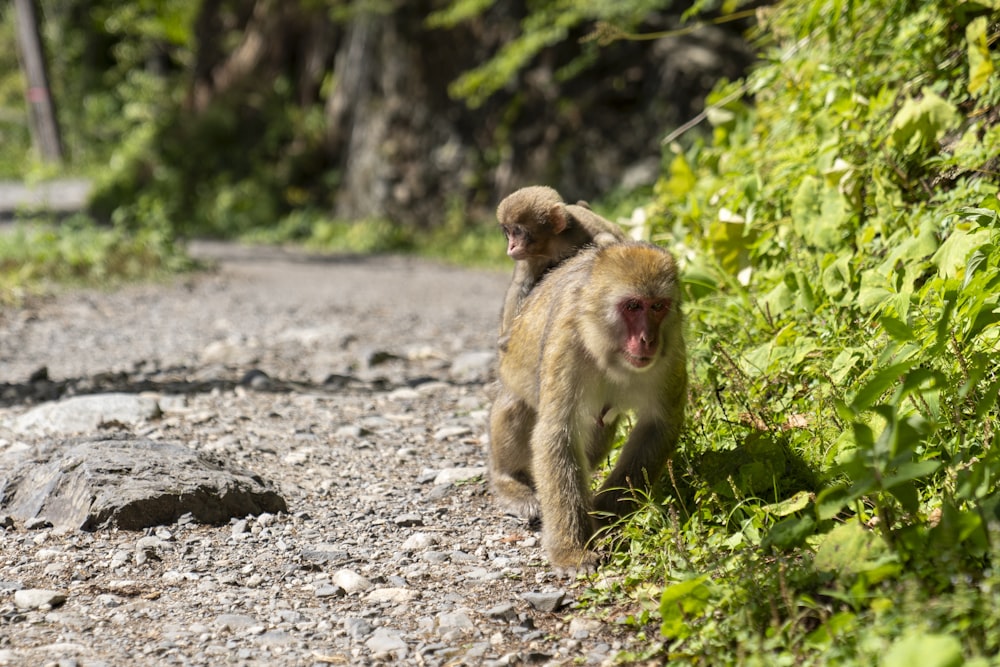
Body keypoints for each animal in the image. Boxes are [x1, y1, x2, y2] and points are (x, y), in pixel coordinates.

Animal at [490, 241, 688, 576]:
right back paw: (510, 481)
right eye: (633, 306)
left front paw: (606, 512)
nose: (648, 340)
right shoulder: (567, 339)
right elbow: (558, 432)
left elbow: (658, 424)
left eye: (658, 306)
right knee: (518, 405)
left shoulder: (671, 349)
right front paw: (572, 552)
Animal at [498, 187, 628, 340]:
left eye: (518, 231)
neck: (550, 246)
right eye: (508, 232)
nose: (511, 247)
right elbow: (520, 285)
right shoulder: (530, 257)